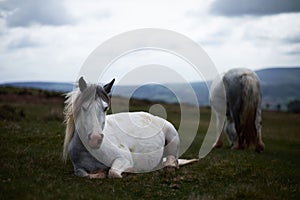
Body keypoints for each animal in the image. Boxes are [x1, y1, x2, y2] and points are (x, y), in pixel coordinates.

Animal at [63, 76, 198, 178]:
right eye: (83, 107)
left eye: (105, 108)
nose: (95, 139)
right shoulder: (78, 168)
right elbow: (84, 174)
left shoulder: (123, 159)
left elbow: (112, 173)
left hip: (172, 137)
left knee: (172, 163)